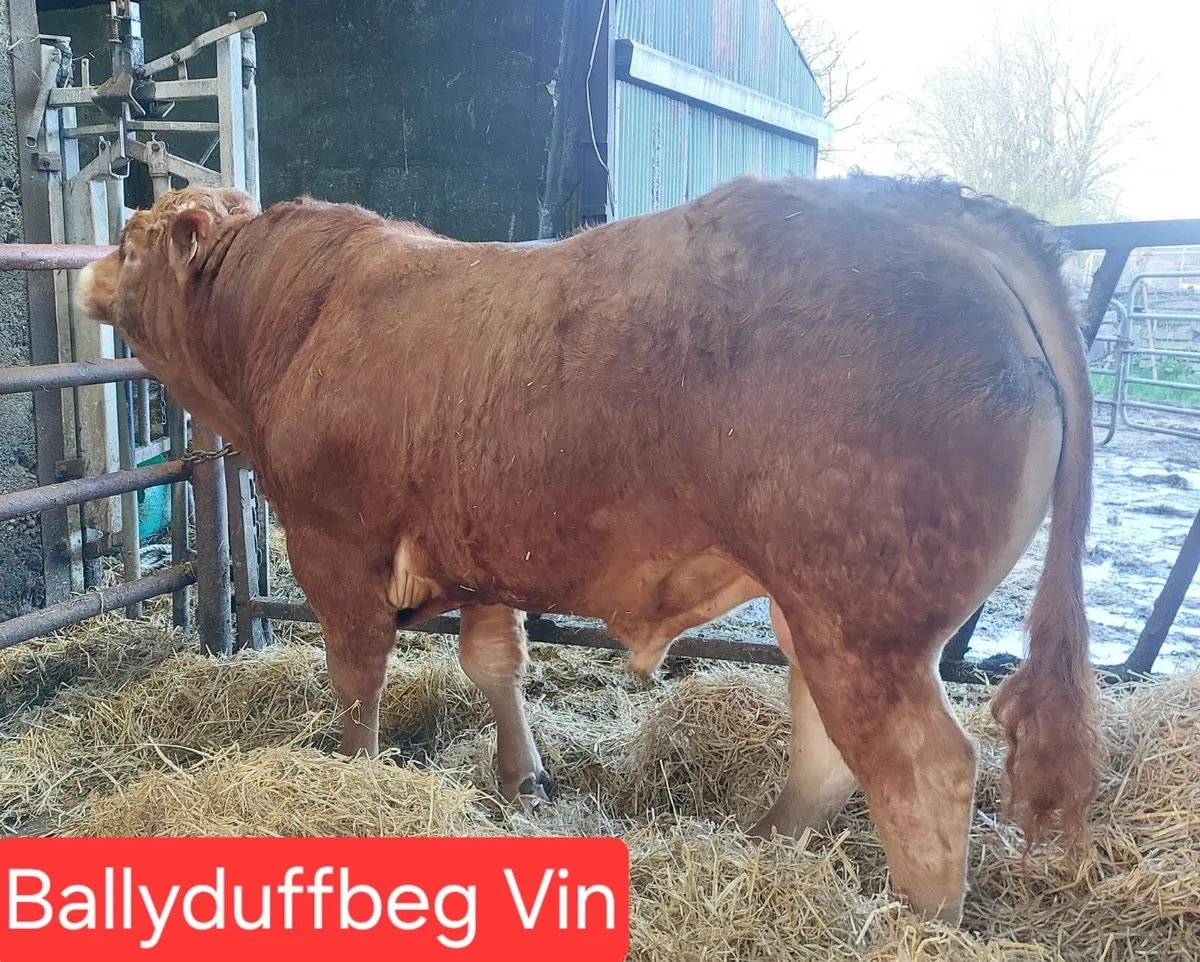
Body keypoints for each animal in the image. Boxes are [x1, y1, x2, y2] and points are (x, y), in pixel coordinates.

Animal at [76, 173, 1100, 925]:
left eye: (130, 240)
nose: (84, 272)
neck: (290, 320)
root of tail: (938, 214)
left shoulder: (336, 546)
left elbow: (357, 681)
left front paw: (352, 781)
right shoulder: (483, 552)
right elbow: (496, 663)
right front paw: (520, 778)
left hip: (862, 622)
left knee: (925, 771)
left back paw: (917, 923)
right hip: (817, 613)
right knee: (829, 748)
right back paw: (762, 846)